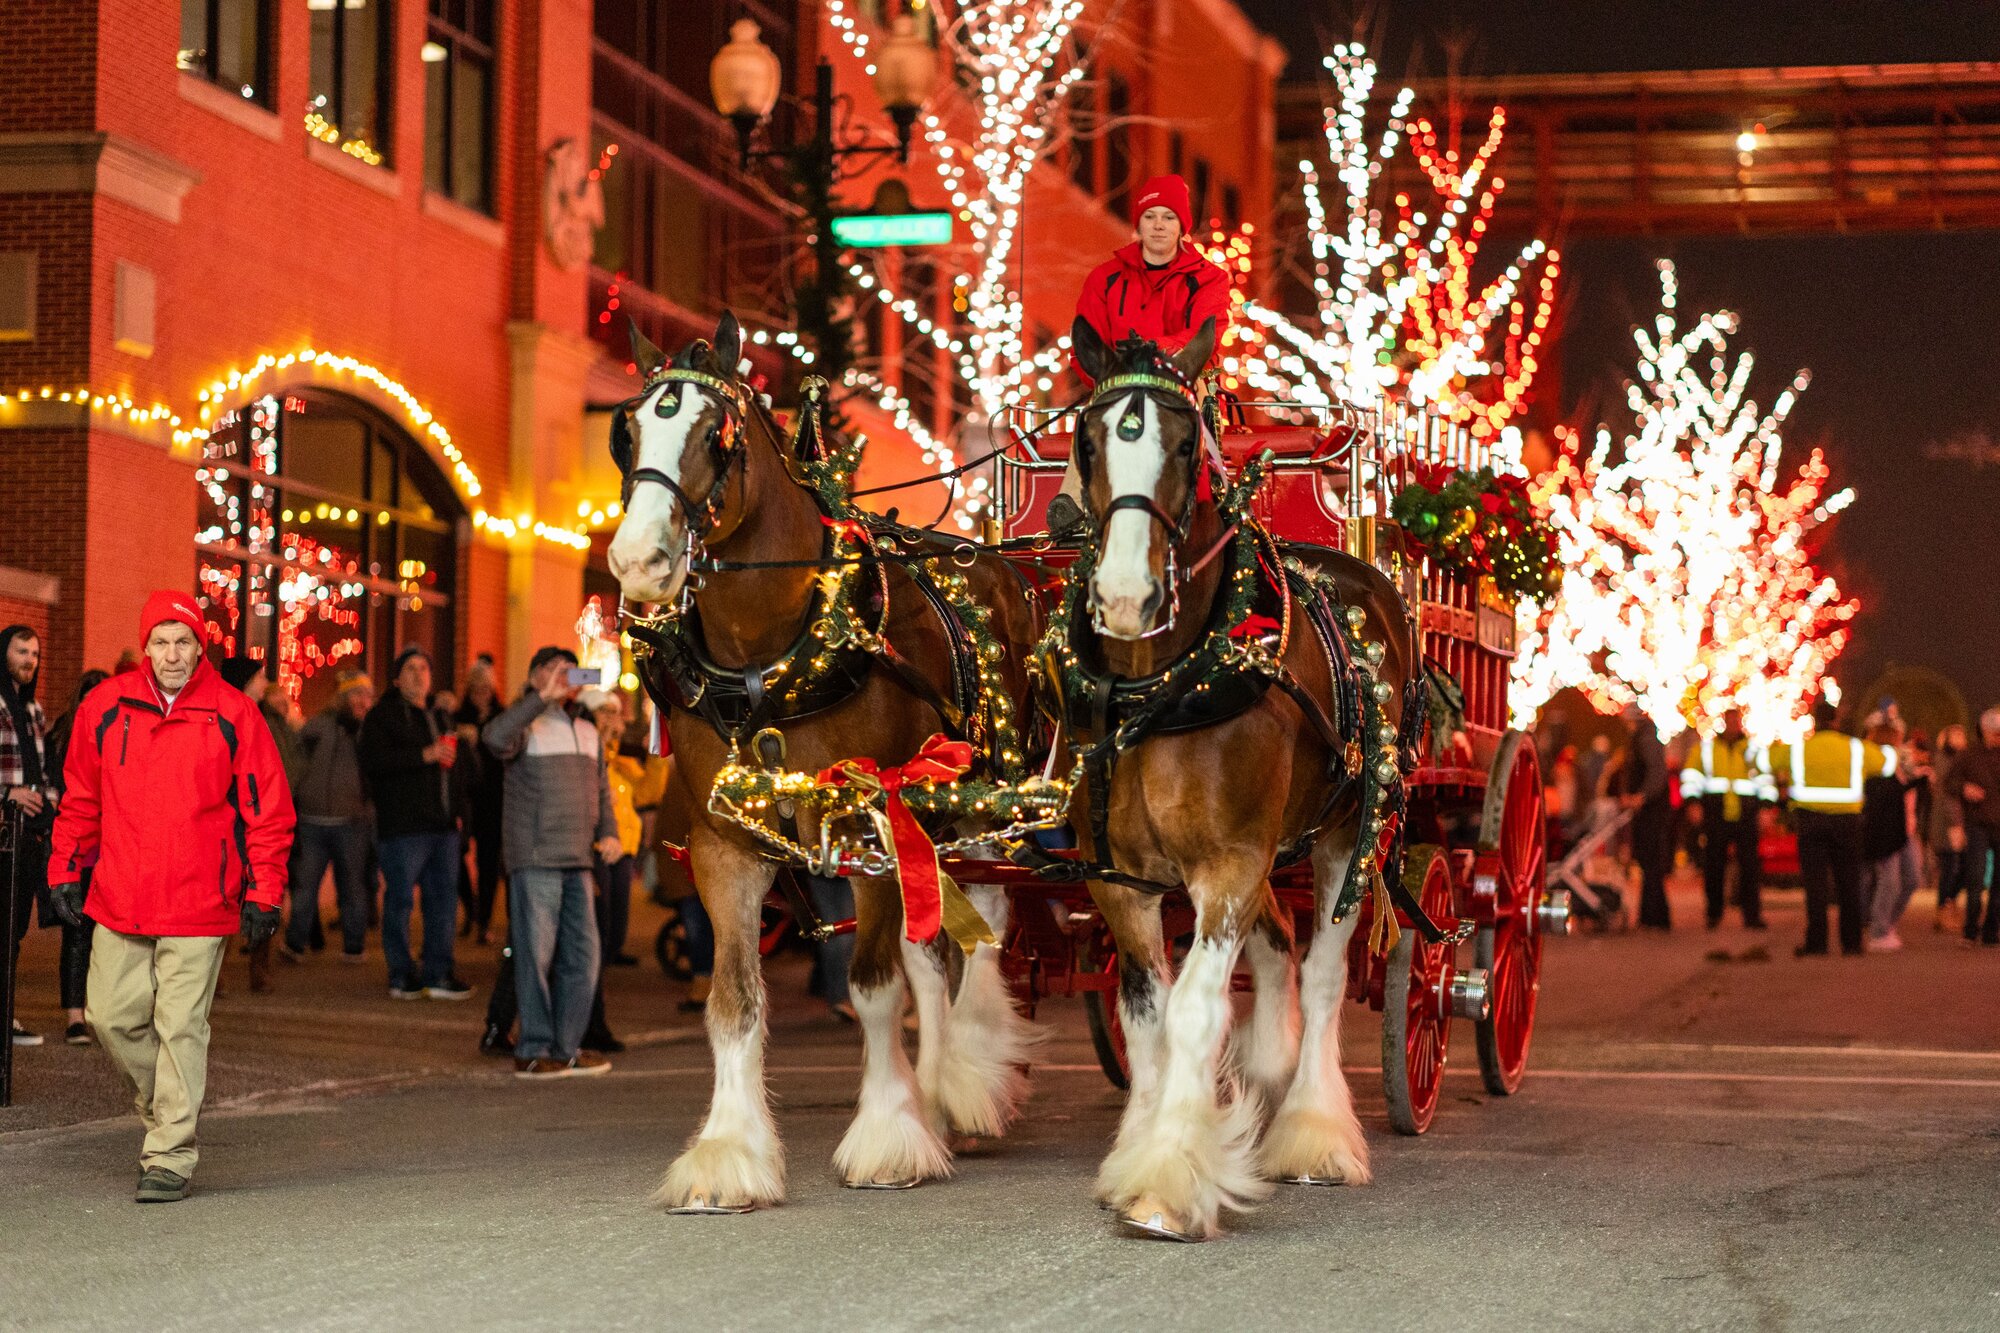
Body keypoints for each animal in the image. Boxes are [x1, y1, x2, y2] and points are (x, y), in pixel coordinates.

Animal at [600, 316, 1040, 1208]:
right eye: (626, 433)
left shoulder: (867, 823)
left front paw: (889, 1135)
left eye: (716, 433)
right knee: (931, 949)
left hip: (980, 807)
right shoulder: (724, 844)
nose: (639, 559)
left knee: (975, 932)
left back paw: (961, 1083)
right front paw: (728, 1152)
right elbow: (733, 999)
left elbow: (872, 989)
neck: (772, 657)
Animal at [1072, 320, 1416, 1232]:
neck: (1165, 687)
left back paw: (1313, 1130)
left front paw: (1167, 1178)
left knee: (1324, 969)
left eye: (1189, 443)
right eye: (1085, 439)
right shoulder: (1120, 878)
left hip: (1347, 832)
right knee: (1279, 943)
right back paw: (1268, 1067)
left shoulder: (1228, 862)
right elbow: (1148, 1014)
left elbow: (1196, 1008)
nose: (1126, 595)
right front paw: (1141, 1147)